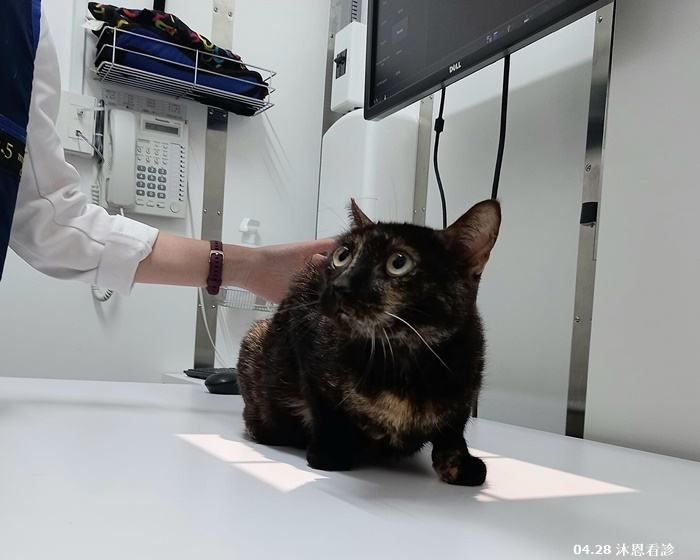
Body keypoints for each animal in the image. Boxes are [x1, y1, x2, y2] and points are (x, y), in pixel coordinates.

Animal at [236, 198, 501, 486]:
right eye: (342, 256)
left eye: (398, 262)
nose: (339, 286)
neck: (404, 361)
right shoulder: (302, 326)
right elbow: (325, 407)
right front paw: (332, 450)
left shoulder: (469, 380)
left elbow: (454, 427)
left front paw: (459, 462)